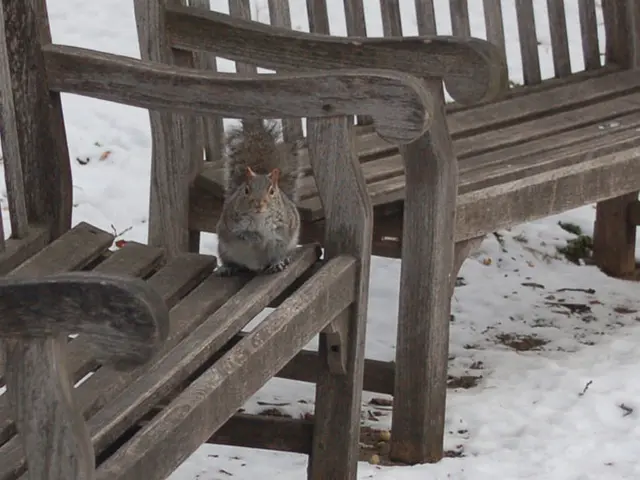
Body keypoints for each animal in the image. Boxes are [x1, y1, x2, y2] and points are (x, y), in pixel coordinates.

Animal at [215, 119, 303, 276]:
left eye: (272, 191)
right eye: (246, 190)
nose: (258, 204)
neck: (259, 218)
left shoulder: (281, 232)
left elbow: (277, 249)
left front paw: (277, 263)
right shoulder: (231, 224)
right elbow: (241, 234)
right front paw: (255, 238)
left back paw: (285, 259)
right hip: (224, 249)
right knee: (230, 260)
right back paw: (228, 267)